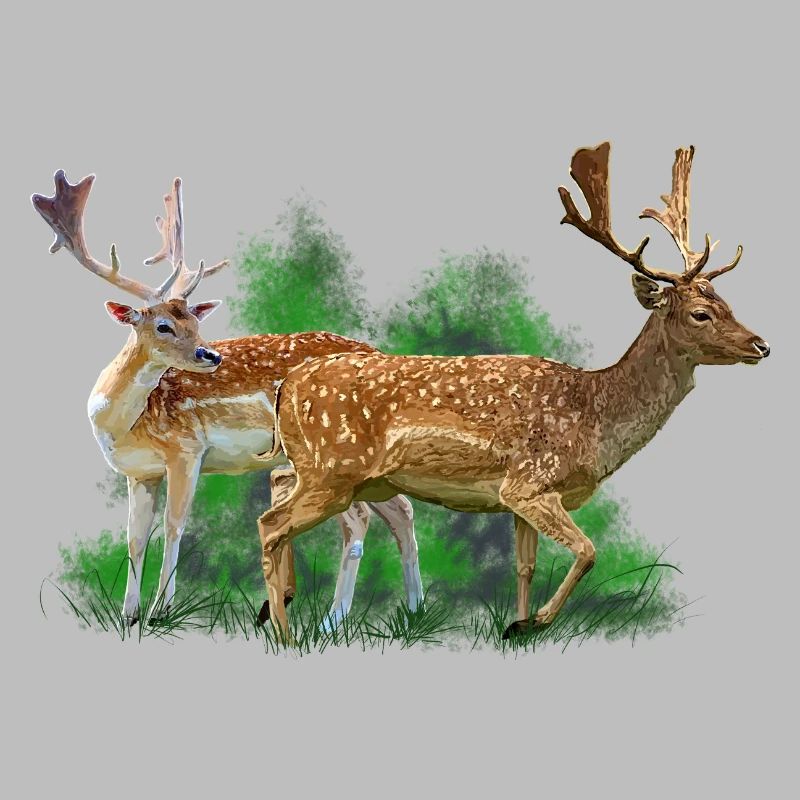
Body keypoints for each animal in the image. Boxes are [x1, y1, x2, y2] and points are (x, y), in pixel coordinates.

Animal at [32, 171, 424, 630]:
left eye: (195, 321)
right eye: (163, 325)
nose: (210, 355)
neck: (122, 425)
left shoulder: (186, 450)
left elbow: (174, 526)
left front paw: (160, 611)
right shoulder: (138, 472)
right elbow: (135, 537)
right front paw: (128, 615)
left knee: (359, 520)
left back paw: (333, 621)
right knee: (401, 509)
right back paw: (414, 611)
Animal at [256, 141, 770, 641]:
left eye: (728, 303)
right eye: (701, 313)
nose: (761, 345)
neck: (594, 415)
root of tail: (287, 386)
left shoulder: (518, 499)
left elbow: (526, 566)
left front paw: (516, 626)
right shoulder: (530, 481)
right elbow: (587, 550)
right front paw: (533, 621)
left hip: (327, 471)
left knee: (277, 503)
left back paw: (278, 613)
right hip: (332, 471)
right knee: (271, 526)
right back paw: (284, 634)